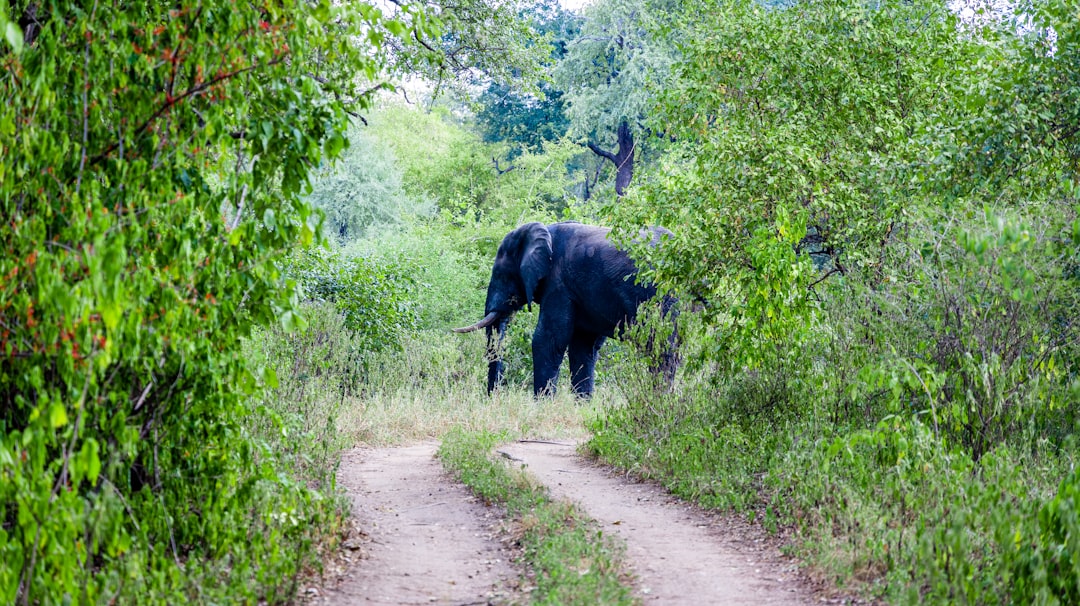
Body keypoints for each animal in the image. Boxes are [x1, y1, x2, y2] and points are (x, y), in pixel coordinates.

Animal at [454, 221, 677, 397]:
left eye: (501, 274)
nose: (493, 398)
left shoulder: (558, 285)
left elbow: (547, 340)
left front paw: (542, 404)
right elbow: (582, 348)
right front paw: (583, 405)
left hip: (665, 299)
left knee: (664, 350)